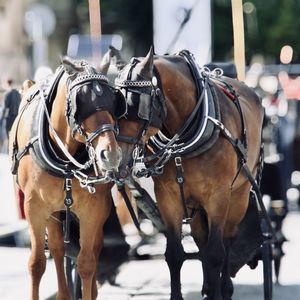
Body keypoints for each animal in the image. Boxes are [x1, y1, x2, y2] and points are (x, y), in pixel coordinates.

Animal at [8, 56, 125, 300]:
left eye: (113, 101)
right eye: (82, 102)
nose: (110, 154)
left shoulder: (93, 210)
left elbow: (86, 263)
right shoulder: (35, 208)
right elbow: (37, 264)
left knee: (91, 249)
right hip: (54, 212)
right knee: (56, 247)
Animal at [111, 48, 264, 298]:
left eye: (137, 106)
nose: (115, 158)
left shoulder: (218, 196)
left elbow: (215, 254)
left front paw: (218, 291)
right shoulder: (168, 198)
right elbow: (175, 254)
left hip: (238, 196)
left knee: (227, 239)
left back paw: (224, 287)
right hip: (194, 205)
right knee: (201, 241)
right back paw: (208, 286)